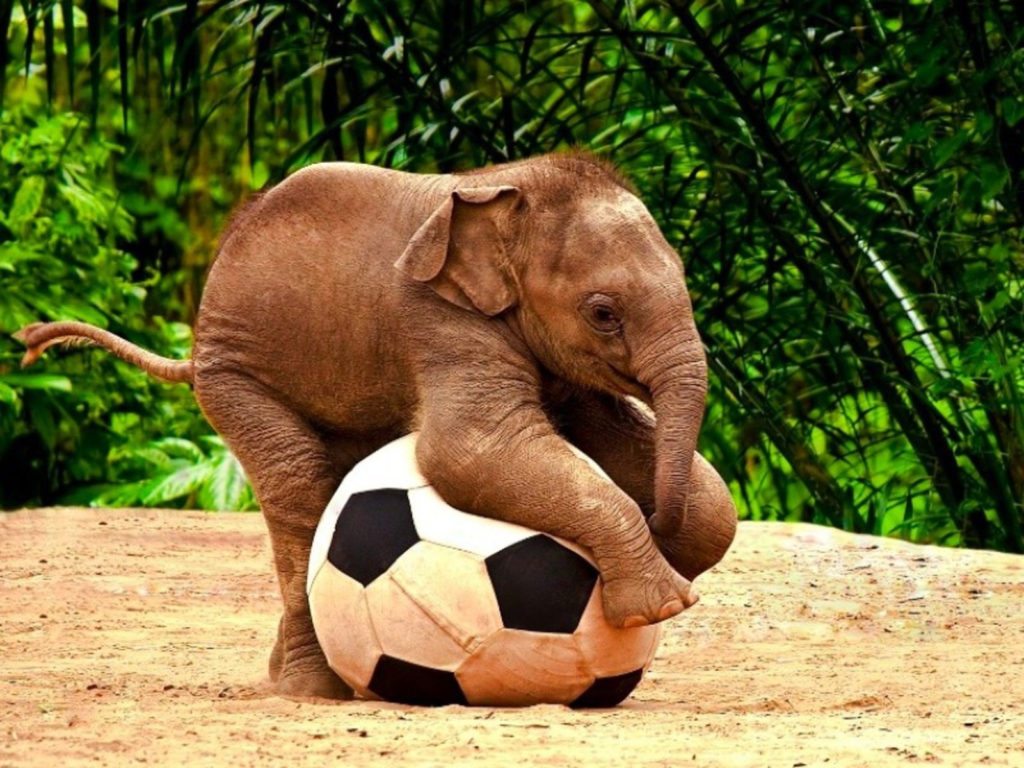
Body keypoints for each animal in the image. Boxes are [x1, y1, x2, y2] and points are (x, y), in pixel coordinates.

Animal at [17, 151, 738, 700]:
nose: (657, 521)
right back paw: (314, 689)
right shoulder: (438, 320)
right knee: (300, 486)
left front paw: (671, 563)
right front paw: (663, 604)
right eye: (602, 313)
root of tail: (194, 348)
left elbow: (659, 467)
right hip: (236, 374)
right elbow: (467, 452)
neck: (511, 186)